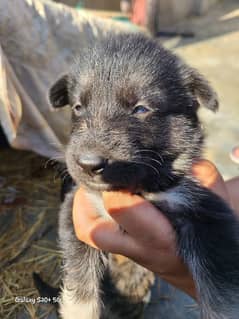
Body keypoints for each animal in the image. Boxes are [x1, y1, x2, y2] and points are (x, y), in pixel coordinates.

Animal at [49, 33, 239, 318]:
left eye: (140, 109)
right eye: (78, 107)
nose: (88, 164)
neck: (139, 187)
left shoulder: (206, 213)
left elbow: (221, 291)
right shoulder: (76, 209)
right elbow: (80, 275)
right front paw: (78, 310)